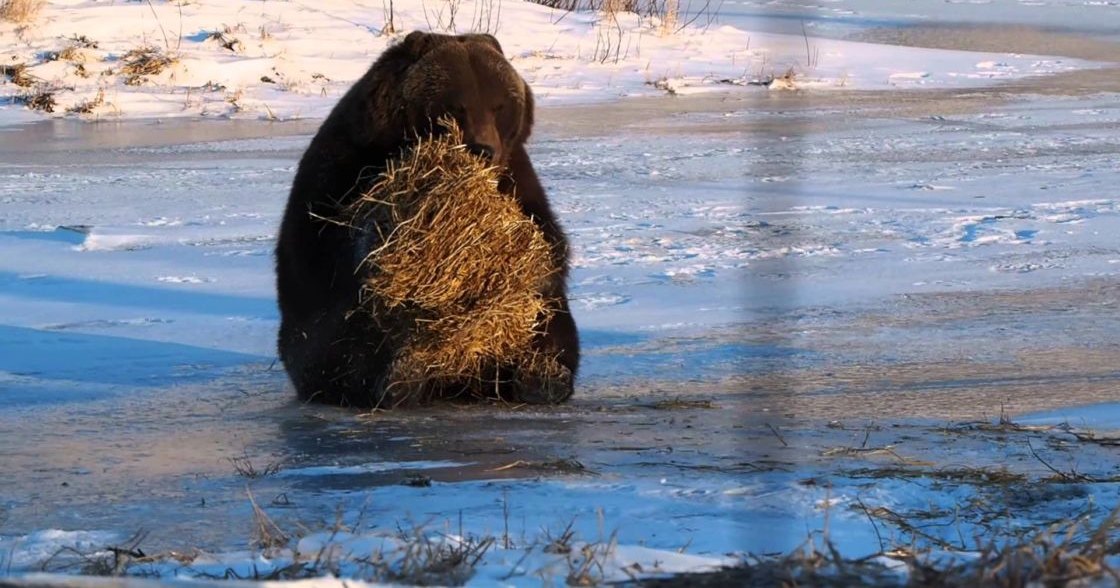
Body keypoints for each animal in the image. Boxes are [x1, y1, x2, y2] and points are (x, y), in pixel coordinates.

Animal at [274, 31, 579, 409]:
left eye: (499, 104)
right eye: (457, 105)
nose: (482, 148)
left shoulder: (516, 178)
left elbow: (547, 248)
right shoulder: (345, 165)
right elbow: (329, 242)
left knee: (554, 330)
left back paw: (542, 376)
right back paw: (402, 377)